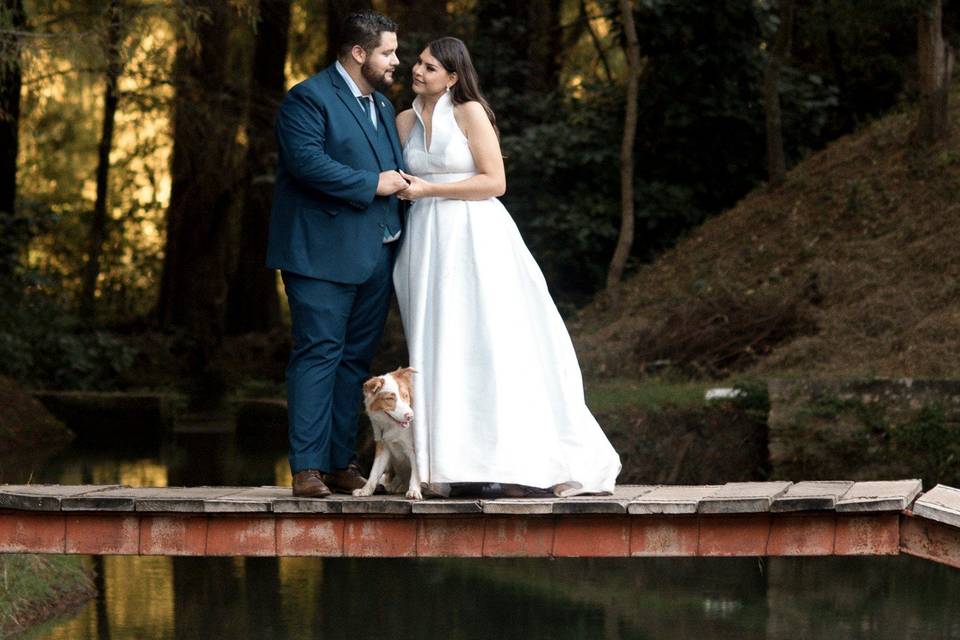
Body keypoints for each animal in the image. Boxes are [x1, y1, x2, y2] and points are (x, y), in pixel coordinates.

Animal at [350, 368, 422, 502]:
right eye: (390, 399)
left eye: (405, 395)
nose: (410, 416)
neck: (392, 426)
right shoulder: (383, 446)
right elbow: (374, 471)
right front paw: (365, 490)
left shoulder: (414, 448)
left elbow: (416, 470)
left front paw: (414, 490)